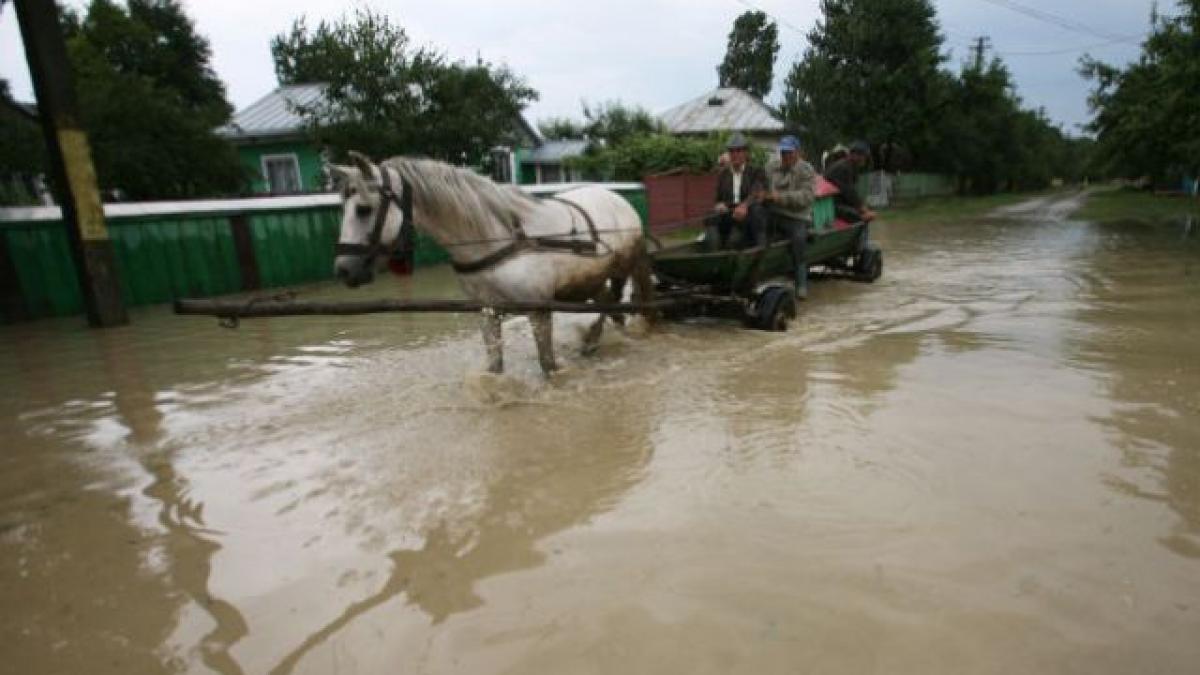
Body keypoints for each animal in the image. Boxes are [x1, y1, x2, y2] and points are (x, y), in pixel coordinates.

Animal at [331, 151, 657, 372]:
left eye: (363, 209)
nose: (343, 270)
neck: (496, 237)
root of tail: (619, 198)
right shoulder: (487, 312)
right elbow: (494, 368)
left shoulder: (539, 312)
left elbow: (548, 366)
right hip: (589, 278)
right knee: (608, 303)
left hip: (626, 267)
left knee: (620, 302)